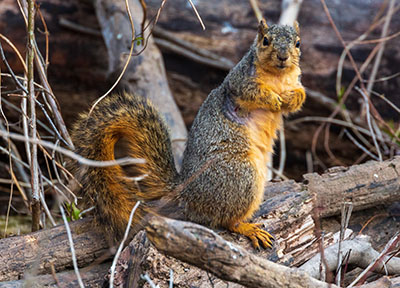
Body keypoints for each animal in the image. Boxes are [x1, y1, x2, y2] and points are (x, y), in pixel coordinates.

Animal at [70, 20, 306, 250]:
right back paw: (247, 228)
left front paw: (291, 98)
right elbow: (251, 91)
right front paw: (272, 99)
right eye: (265, 40)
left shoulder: (294, 81)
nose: (283, 57)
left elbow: (300, 95)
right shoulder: (238, 81)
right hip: (241, 175)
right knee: (225, 220)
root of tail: (185, 190)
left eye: (297, 43)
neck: (277, 76)